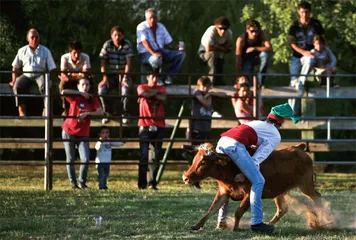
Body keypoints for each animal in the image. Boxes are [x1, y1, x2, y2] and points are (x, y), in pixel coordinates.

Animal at [182, 142, 324, 231]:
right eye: (195, 159)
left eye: (203, 162)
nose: (185, 178)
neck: (231, 168)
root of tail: (299, 148)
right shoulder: (223, 192)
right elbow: (212, 209)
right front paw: (197, 225)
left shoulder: (249, 193)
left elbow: (238, 212)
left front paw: (235, 229)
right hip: (280, 192)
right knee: (283, 209)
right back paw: (270, 224)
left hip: (305, 185)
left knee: (316, 197)